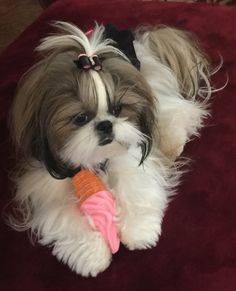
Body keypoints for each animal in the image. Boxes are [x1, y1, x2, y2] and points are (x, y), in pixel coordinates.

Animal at [9, 21, 213, 278]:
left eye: (118, 109)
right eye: (80, 118)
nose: (105, 124)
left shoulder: (133, 157)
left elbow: (135, 187)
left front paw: (139, 231)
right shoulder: (46, 184)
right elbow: (66, 215)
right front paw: (91, 255)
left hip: (156, 92)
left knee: (180, 110)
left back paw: (172, 141)